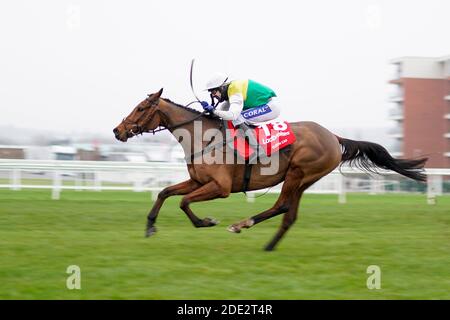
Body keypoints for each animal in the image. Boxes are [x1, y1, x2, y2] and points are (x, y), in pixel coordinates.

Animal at [113, 89, 428, 251]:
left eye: (141, 108)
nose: (117, 131)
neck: (203, 137)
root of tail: (333, 136)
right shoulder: (197, 181)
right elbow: (165, 193)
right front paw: (150, 226)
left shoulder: (220, 188)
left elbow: (183, 202)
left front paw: (206, 222)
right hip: (304, 180)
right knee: (290, 214)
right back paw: (269, 245)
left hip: (299, 172)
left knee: (282, 206)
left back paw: (242, 224)